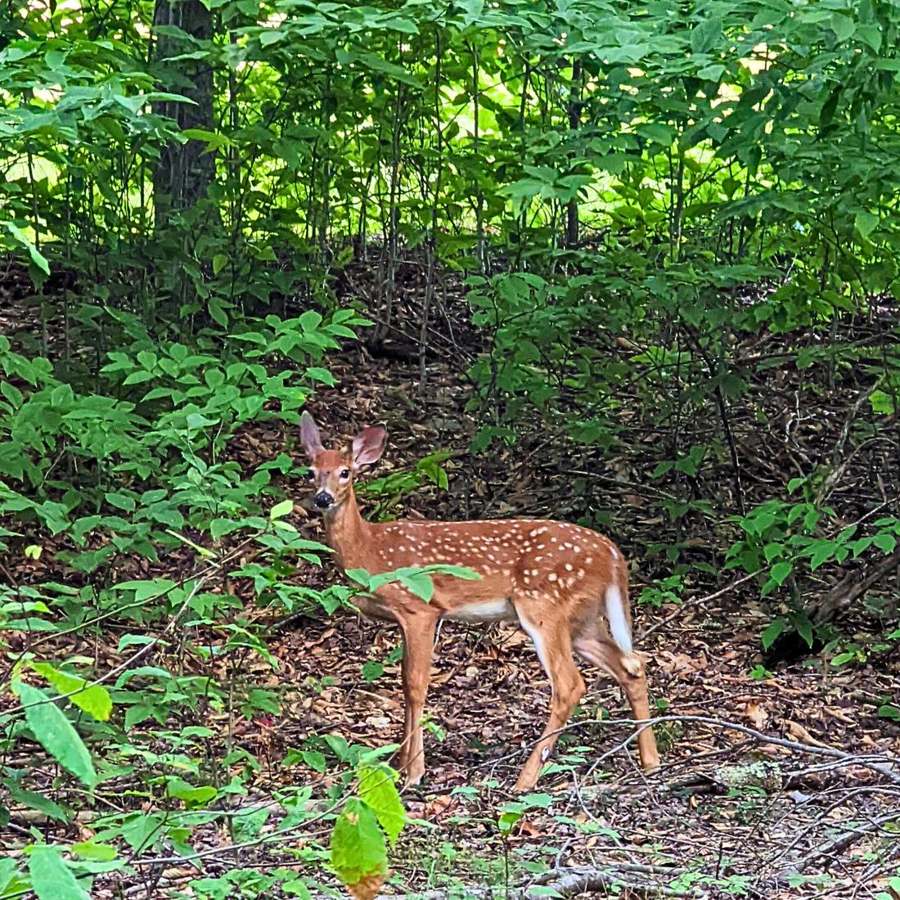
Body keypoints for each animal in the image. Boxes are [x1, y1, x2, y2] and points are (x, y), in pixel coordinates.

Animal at [300, 411, 660, 792]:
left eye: (345, 472)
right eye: (311, 471)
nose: (322, 498)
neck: (370, 550)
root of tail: (613, 553)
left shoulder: (421, 608)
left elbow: (415, 684)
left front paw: (414, 772)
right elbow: (404, 681)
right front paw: (398, 762)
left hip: (544, 606)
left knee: (570, 684)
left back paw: (525, 780)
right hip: (582, 619)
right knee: (631, 665)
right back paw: (650, 761)